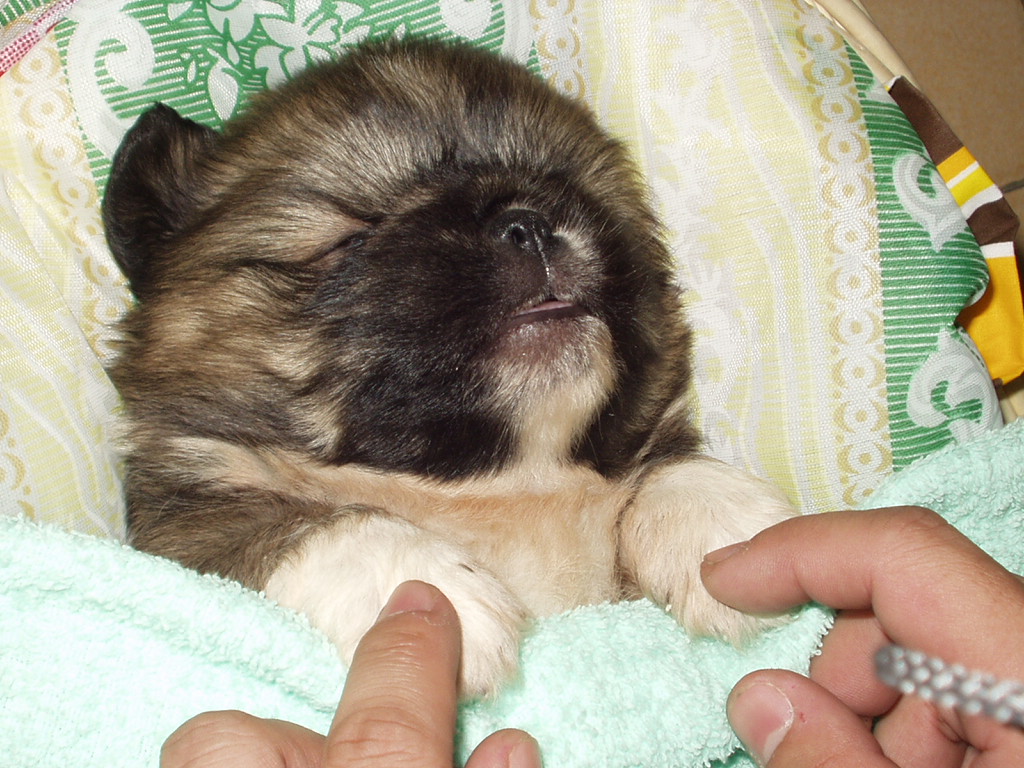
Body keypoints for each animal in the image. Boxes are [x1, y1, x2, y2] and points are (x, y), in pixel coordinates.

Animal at [103, 38, 796, 697]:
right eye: (352, 239)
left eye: (569, 190)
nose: (529, 224)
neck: (499, 488)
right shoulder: (182, 535)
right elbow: (293, 524)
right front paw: (428, 587)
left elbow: (665, 465)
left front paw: (726, 530)